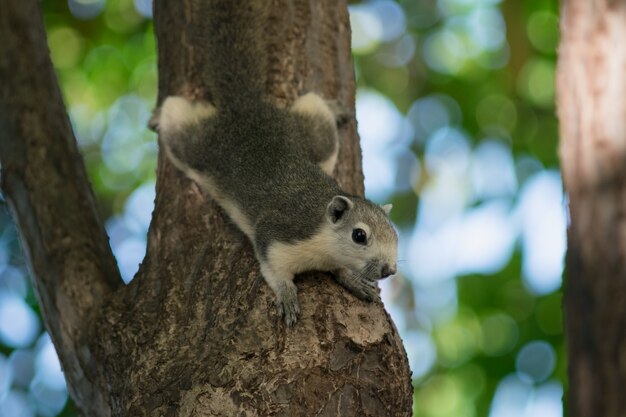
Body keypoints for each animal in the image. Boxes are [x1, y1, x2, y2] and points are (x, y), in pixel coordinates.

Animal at [149, 0, 398, 324]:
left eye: (394, 232)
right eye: (359, 235)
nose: (389, 270)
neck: (323, 239)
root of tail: (247, 107)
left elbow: (341, 270)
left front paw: (350, 278)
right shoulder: (276, 236)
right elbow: (274, 270)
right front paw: (288, 296)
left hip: (316, 136)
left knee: (315, 108)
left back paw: (333, 108)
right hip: (197, 147)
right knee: (175, 115)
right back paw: (158, 115)